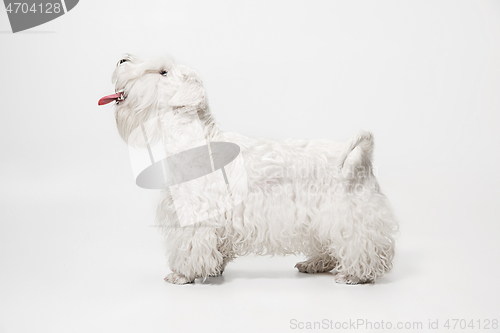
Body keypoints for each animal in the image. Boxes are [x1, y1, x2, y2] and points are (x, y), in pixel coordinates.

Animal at [99, 53, 398, 282]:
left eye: (163, 72)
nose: (121, 59)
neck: (195, 139)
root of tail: (362, 155)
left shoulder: (194, 213)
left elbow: (191, 246)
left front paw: (183, 275)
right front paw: (213, 269)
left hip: (349, 212)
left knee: (364, 244)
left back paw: (355, 275)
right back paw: (314, 263)